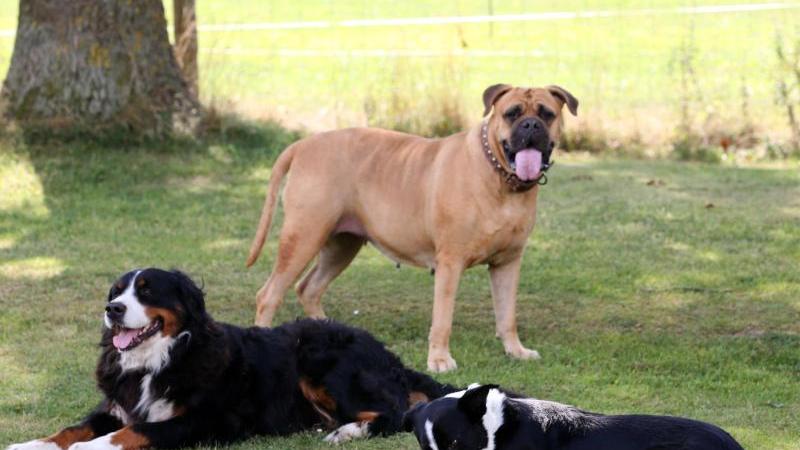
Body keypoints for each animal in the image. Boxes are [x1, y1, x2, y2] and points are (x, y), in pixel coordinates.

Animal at [4, 268, 456, 450]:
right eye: (116, 292)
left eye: (146, 291)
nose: (112, 309)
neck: (158, 361)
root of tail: (385, 352)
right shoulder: (118, 406)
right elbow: (72, 428)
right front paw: (32, 443)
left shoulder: (199, 420)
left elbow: (132, 433)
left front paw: (91, 447)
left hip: (319, 361)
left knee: (393, 414)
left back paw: (346, 432)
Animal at [244, 84, 576, 372]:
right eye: (512, 113)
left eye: (547, 113)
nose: (531, 126)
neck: (501, 179)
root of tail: (302, 145)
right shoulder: (450, 263)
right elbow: (443, 319)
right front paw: (439, 360)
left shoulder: (507, 263)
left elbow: (507, 315)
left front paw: (515, 351)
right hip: (304, 236)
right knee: (269, 294)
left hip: (342, 244)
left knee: (309, 288)